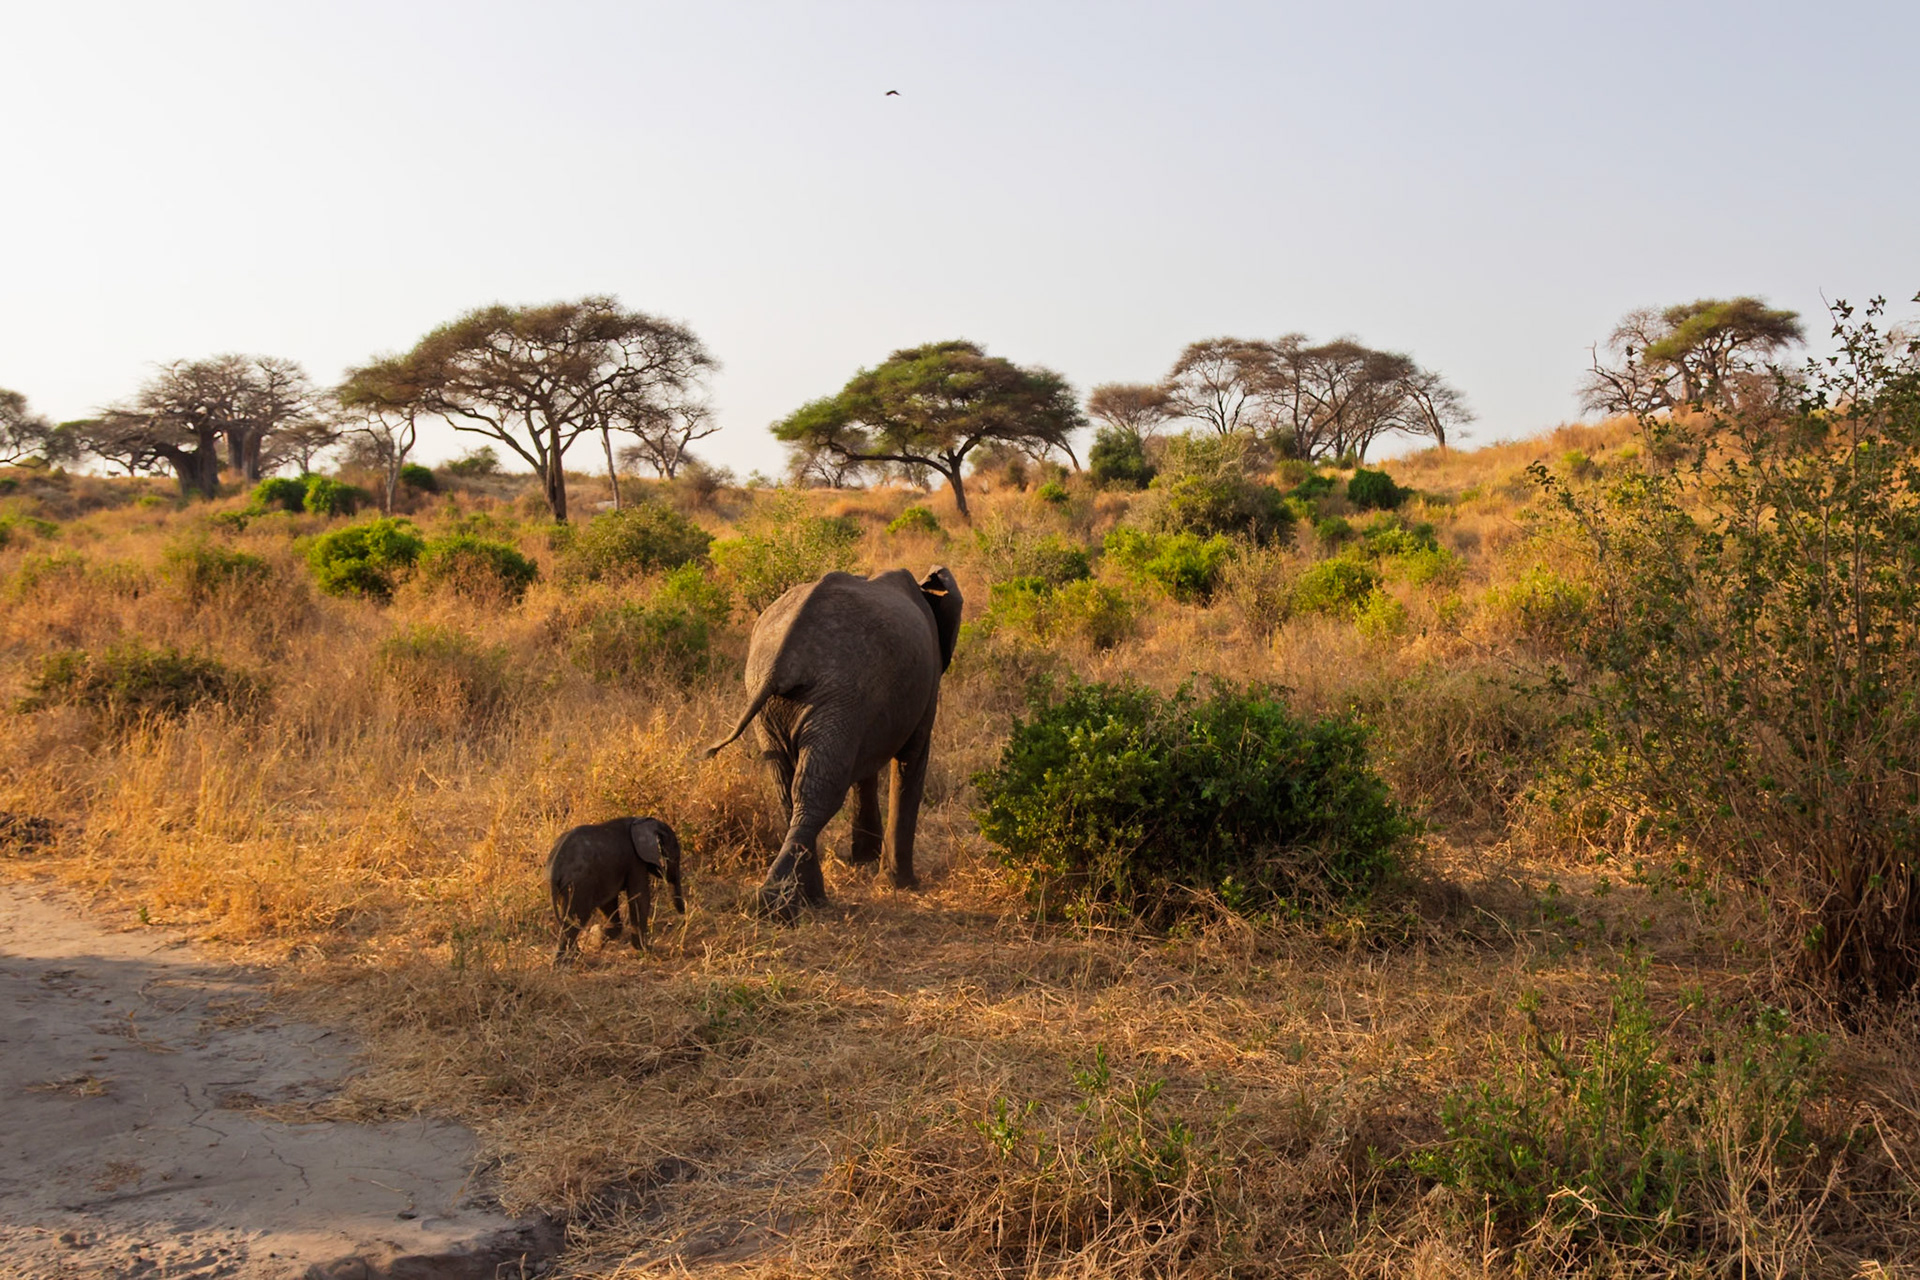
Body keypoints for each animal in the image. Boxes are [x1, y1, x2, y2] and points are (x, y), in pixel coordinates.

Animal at [546, 817, 686, 965]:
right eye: (676, 857)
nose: (683, 917)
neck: (640, 820)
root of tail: (555, 868)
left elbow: (609, 901)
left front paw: (595, 941)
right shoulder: (635, 861)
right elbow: (640, 897)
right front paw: (646, 950)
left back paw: (573, 958)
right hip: (578, 884)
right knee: (577, 919)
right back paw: (563, 963)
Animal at [705, 566, 962, 918]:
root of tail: (781, 662)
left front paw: (866, 862)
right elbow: (911, 759)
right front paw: (902, 885)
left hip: (786, 703)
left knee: (790, 787)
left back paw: (794, 901)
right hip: (834, 695)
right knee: (817, 789)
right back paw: (780, 904)